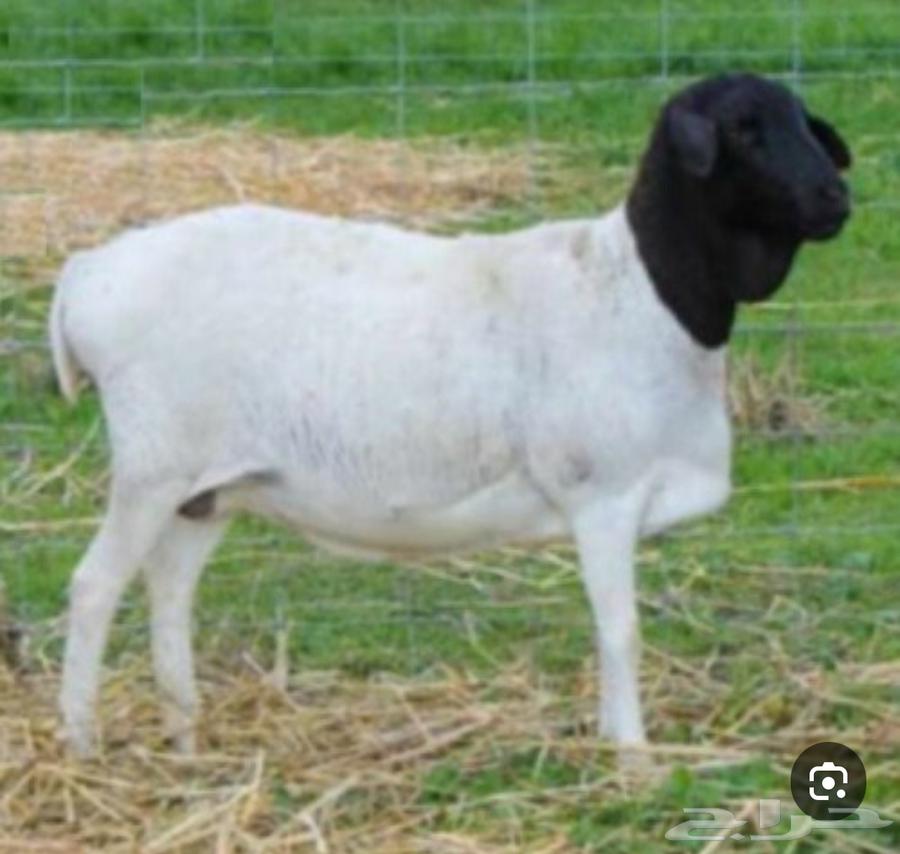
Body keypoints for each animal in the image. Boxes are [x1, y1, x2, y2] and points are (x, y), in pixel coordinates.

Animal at [49, 73, 851, 759]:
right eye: (743, 128)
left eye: (802, 119)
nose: (836, 196)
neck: (643, 290)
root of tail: (87, 274)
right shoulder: (601, 494)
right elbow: (620, 632)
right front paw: (633, 757)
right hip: (153, 465)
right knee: (93, 588)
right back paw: (83, 748)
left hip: (204, 490)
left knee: (168, 594)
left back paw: (185, 741)